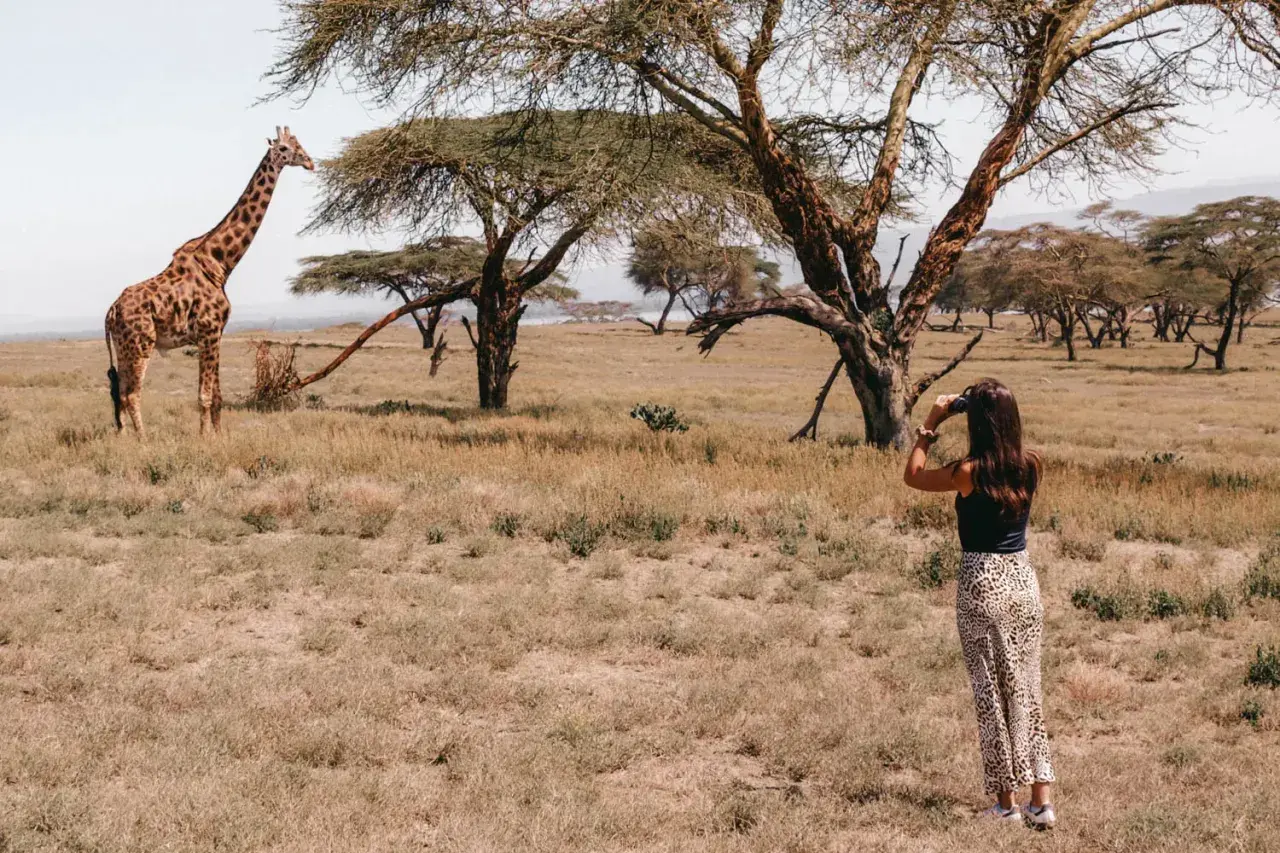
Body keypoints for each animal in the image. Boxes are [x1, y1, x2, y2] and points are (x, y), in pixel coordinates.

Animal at [105, 127, 314, 437]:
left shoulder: (217, 333)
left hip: (123, 346)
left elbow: (217, 395)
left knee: (119, 390)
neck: (221, 263)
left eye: (300, 144)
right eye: (285, 148)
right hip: (141, 343)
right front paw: (204, 438)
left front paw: (218, 435)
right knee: (131, 393)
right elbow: (204, 395)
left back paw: (122, 436)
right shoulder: (208, 330)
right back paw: (143, 439)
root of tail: (111, 311)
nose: (310, 162)